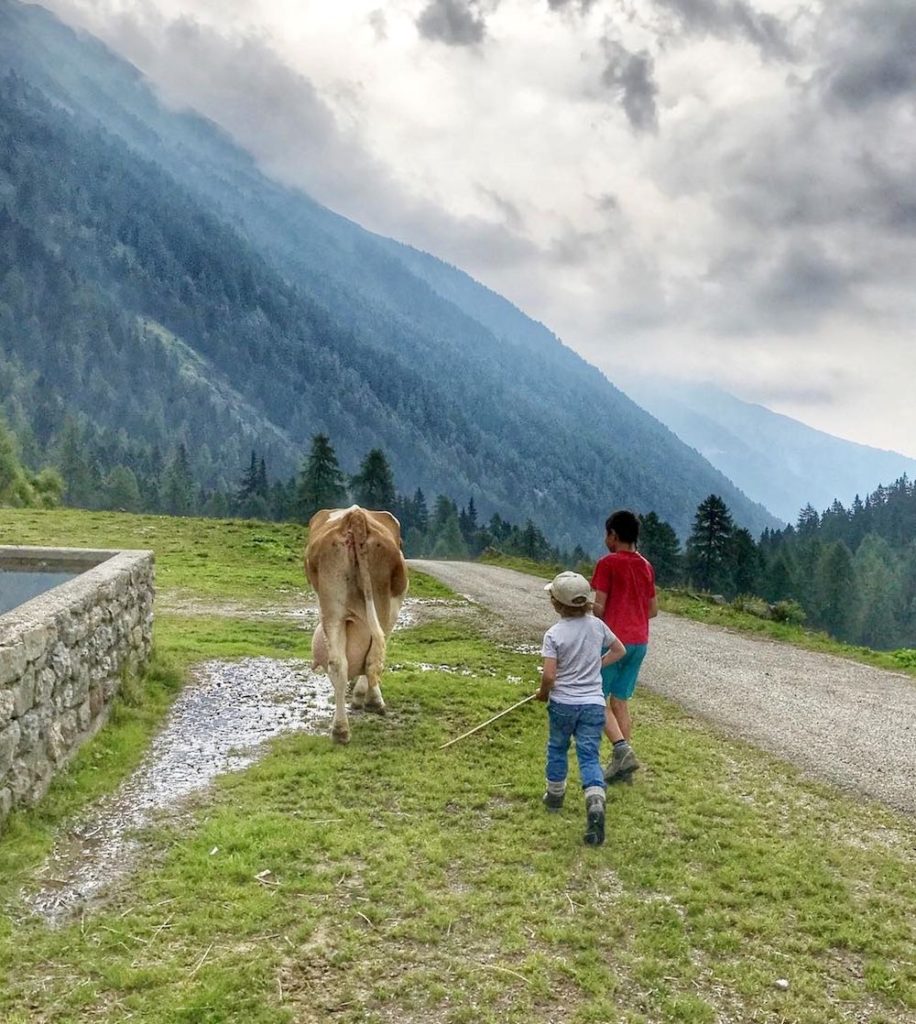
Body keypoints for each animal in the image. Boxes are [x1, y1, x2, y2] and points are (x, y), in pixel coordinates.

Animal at [307, 505, 409, 741]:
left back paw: (340, 730)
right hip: (382, 607)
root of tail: (355, 516)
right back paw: (372, 701)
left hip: (332, 610)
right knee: (372, 659)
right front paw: (364, 696)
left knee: (338, 664)